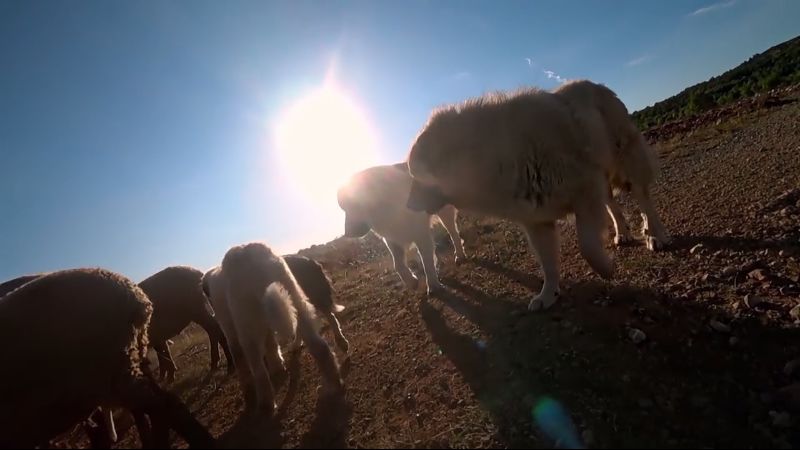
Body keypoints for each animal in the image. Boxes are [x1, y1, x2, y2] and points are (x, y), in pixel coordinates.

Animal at [202, 244, 342, 416]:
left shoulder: (232, 335)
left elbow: (242, 364)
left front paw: (249, 393)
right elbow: (272, 348)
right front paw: (278, 368)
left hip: (248, 327)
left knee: (259, 372)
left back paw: (266, 405)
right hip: (295, 302)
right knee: (320, 347)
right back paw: (334, 385)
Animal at [334, 163, 466, 296]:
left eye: (353, 205)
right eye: (344, 208)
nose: (347, 233)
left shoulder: (421, 235)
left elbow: (427, 263)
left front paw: (433, 285)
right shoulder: (392, 239)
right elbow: (398, 265)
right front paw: (411, 281)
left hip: (444, 213)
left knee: (453, 234)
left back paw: (459, 255)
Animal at [406, 88, 612, 312]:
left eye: (417, 176)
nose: (407, 205)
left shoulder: (588, 192)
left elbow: (587, 246)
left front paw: (606, 268)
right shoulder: (538, 221)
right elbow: (549, 266)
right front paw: (548, 295)